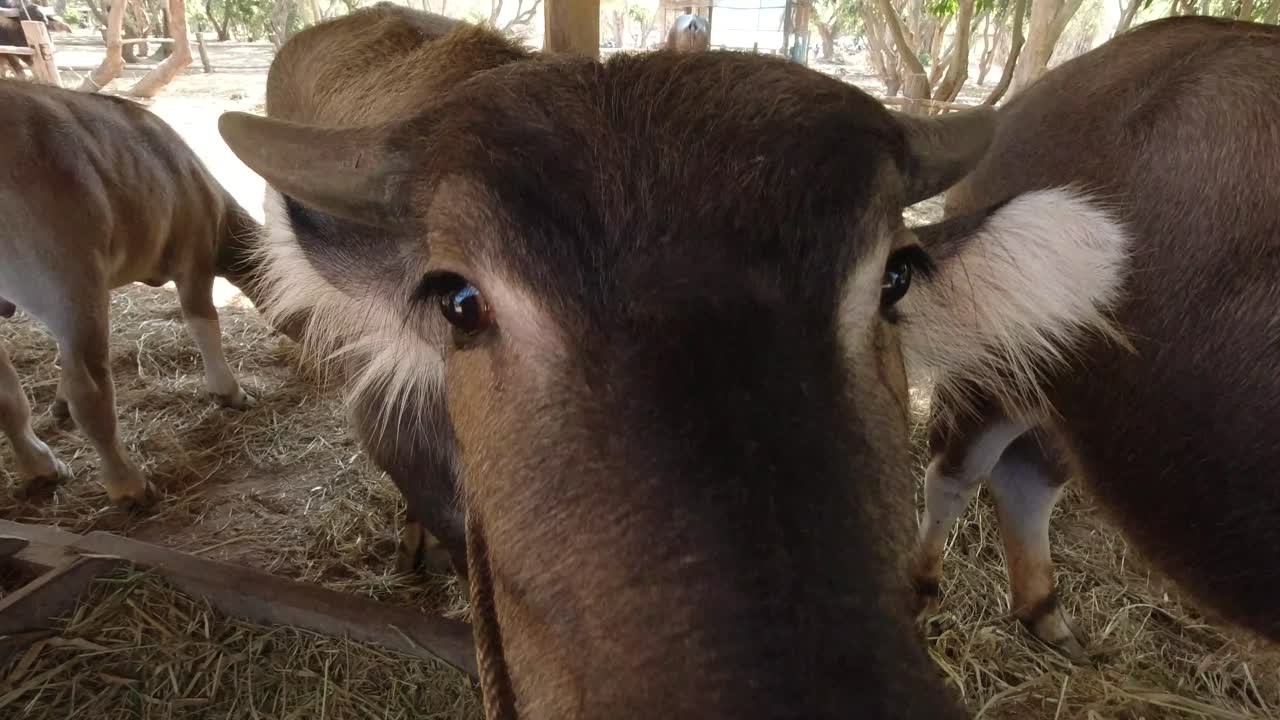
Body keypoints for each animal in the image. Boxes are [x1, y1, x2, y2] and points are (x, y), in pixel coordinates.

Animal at [0, 79, 264, 507]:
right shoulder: (193, 260)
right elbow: (203, 322)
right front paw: (230, 392)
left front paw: (57, 404)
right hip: (72, 285)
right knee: (91, 393)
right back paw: (129, 484)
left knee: (7, 394)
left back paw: (42, 466)